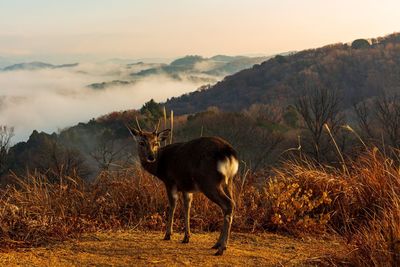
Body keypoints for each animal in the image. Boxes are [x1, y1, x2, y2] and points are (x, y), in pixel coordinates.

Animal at [128, 120, 238, 256]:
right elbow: (187, 207)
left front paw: (168, 234)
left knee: (228, 204)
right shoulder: (186, 187)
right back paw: (218, 244)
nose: (151, 157)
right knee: (230, 205)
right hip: (228, 181)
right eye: (141, 142)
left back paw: (221, 248)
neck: (159, 167)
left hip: (208, 181)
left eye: (156, 143)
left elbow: (172, 206)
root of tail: (229, 153)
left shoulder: (170, 181)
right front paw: (186, 237)